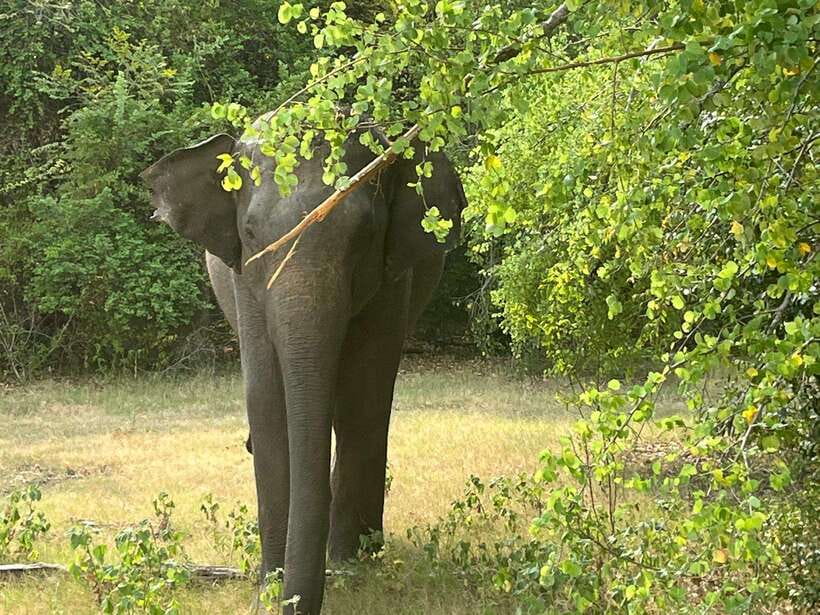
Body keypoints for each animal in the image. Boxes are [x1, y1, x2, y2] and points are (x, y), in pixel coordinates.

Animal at [140, 124, 465, 614]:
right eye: (250, 233)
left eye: (365, 233)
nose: (291, 602)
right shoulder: (244, 280)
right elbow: (267, 398)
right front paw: (271, 581)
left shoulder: (392, 278)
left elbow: (365, 392)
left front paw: (351, 567)